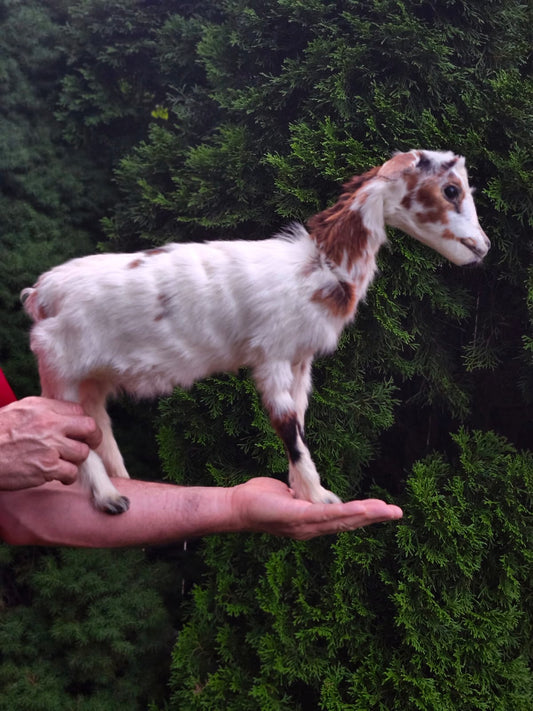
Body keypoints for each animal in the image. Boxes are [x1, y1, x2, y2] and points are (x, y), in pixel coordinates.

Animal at [22, 150, 490, 514]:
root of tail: (42, 293)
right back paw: (109, 499)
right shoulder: (273, 355)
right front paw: (320, 498)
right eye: (451, 190)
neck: (320, 267)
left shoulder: (300, 361)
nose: (483, 247)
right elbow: (287, 426)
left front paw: (300, 489)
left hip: (92, 378)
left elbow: (300, 417)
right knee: (76, 433)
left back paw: (121, 481)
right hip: (61, 370)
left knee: (97, 423)